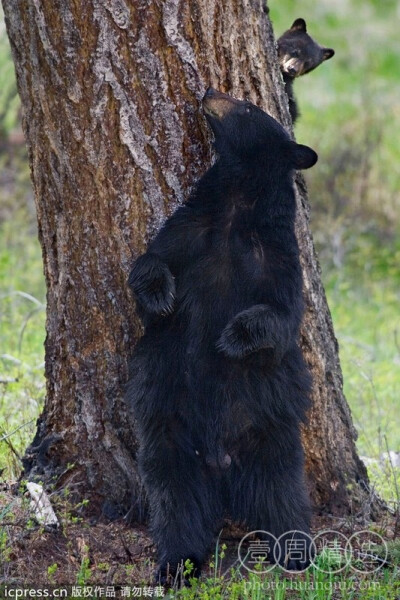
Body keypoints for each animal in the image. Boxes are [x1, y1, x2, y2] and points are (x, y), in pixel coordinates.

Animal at [126, 88, 318, 580]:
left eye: (248, 107)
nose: (210, 91)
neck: (236, 204)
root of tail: (220, 463)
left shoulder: (277, 255)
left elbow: (281, 315)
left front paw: (233, 336)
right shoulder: (190, 230)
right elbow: (151, 262)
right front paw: (161, 295)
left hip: (270, 436)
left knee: (283, 495)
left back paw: (297, 552)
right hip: (170, 436)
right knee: (174, 500)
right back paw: (176, 564)